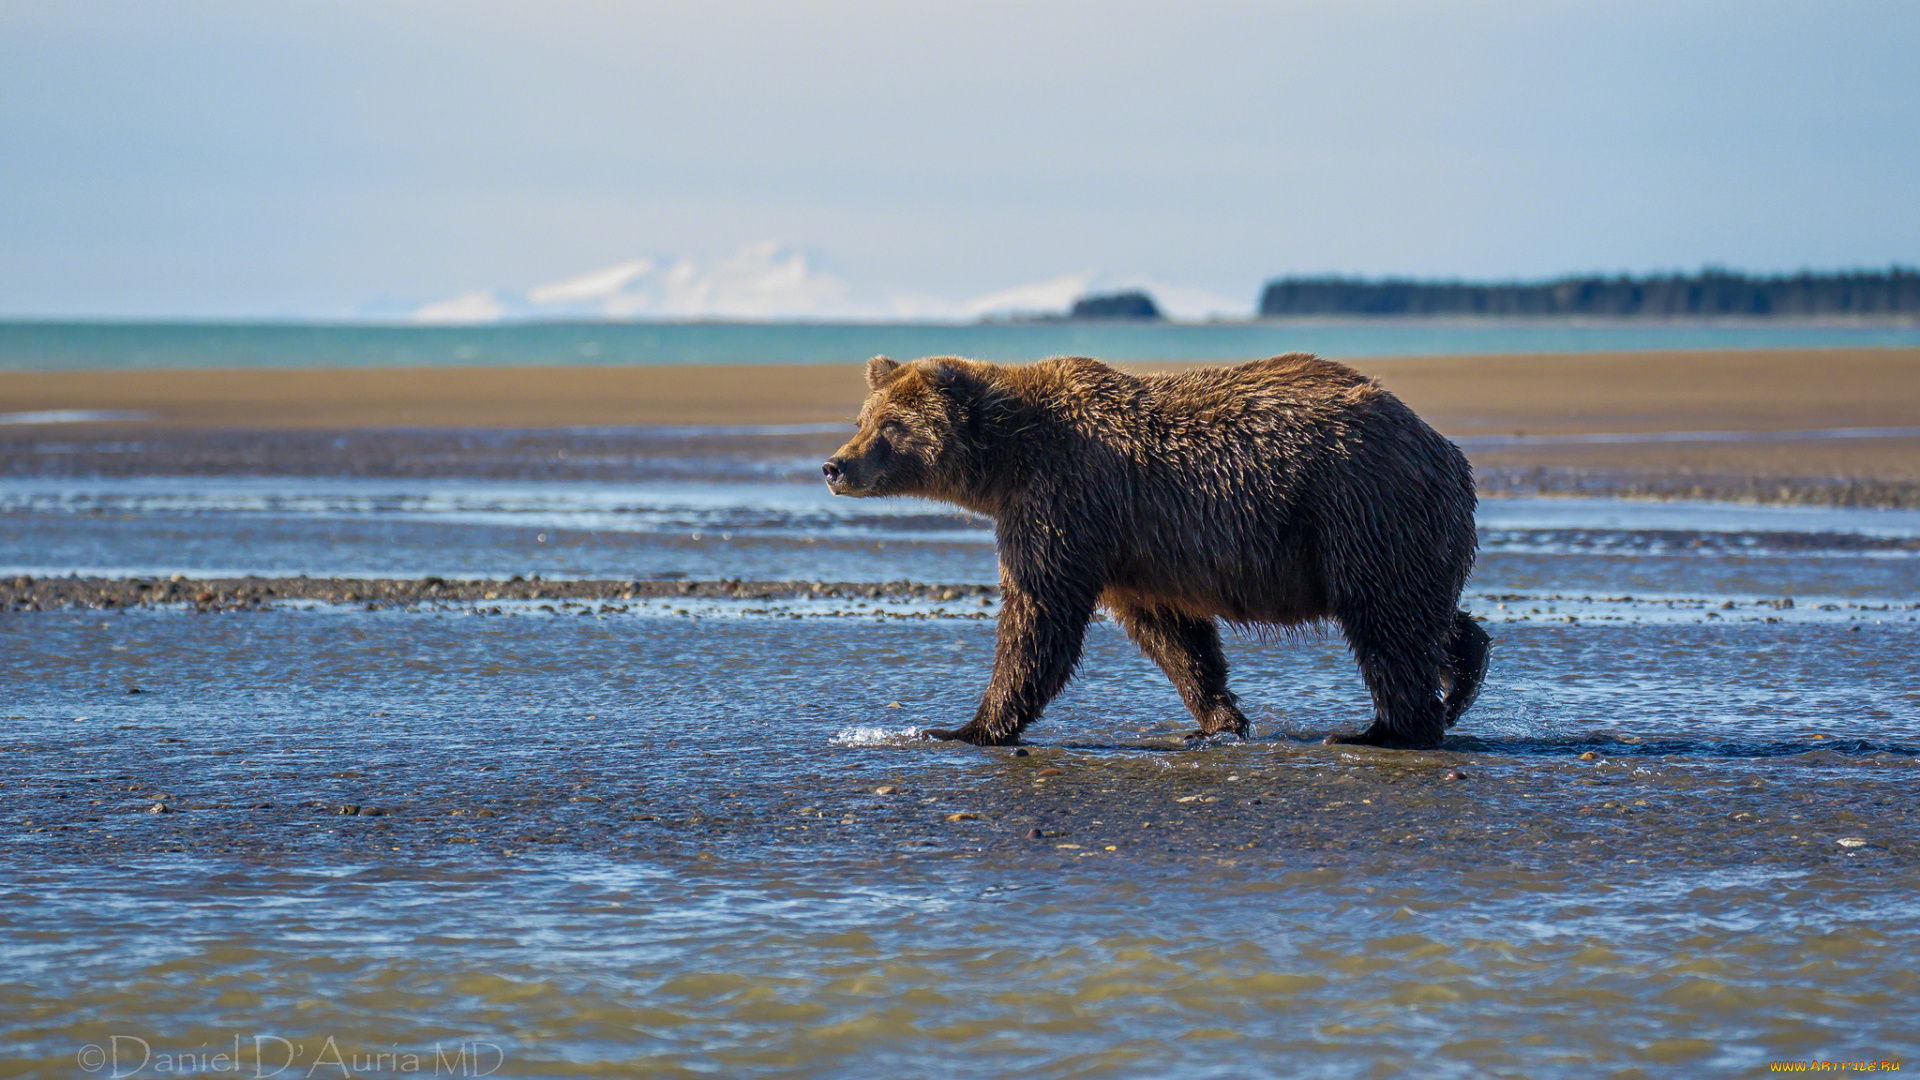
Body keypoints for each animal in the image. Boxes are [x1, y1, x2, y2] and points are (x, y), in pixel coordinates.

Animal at [821, 349, 1482, 745]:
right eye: (862, 418)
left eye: (890, 426)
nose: (835, 465)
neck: (1008, 460)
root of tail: (1444, 448)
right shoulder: (1130, 545)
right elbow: (1172, 635)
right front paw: (1216, 720)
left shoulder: (1066, 501)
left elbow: (1039, 613)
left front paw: (966, 728)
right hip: (1397, 527)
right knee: (1420, 612)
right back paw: (1462, 676)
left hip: (1361, 507)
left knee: (1385, 621)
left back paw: (1383, 729)